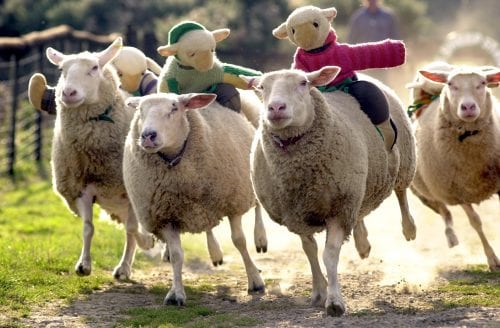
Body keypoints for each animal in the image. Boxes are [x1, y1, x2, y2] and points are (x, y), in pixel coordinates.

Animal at [48, 37, 155, 280]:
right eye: (62, 70)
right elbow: (88, 228)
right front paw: (83, 265)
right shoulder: (83, 187)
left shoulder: (130, 189)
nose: (68, 93)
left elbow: (133, 229)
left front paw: (147, 242)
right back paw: (124, 267)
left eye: (95, 68)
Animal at [242, 66, 418, 316]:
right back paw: (363, 244)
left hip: (403, 162)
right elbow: (310, 251)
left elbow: (329, 254)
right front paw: (319, 292)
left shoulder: (338, 209)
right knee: (360, 212)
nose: (276, 108)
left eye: (303, 83)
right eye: (261, 87)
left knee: (401, 192)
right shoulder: (297, 214)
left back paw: (409, 228)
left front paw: (334, 301)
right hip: (357, 184)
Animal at [408, 65, 498, 270]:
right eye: (450, 84)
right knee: (444, 211)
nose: (468, 107)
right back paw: (451, 237)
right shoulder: (458, 191)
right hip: (428, 190)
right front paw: (492, 260)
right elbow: (475, 222)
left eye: (482, 83)